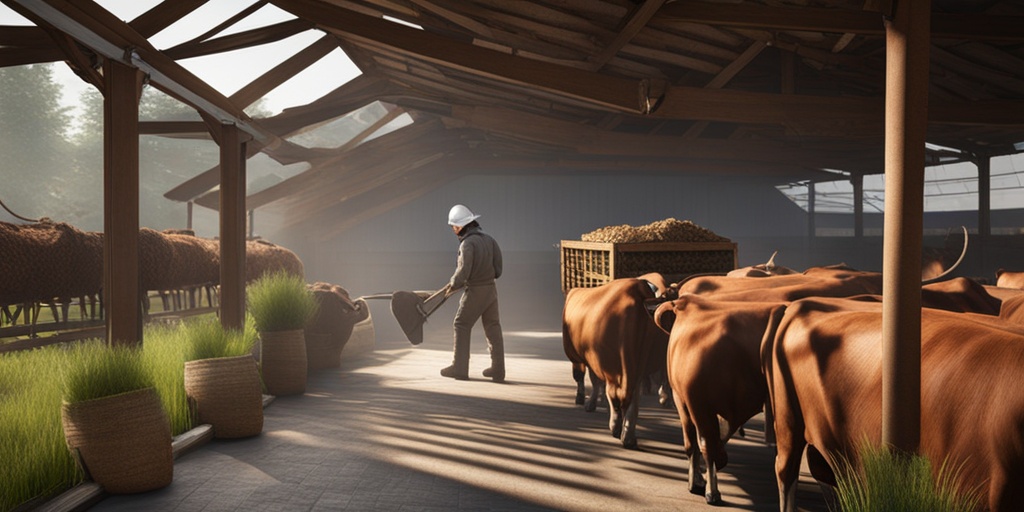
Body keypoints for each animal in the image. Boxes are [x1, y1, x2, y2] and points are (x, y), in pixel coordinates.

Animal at [561, 274, 671, 446]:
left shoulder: (580, 357)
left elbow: (587, 379)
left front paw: (586, 401)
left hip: (613, 366)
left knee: (615, 394)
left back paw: (616, 427)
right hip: (637, 363)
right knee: (633, 397)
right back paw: (629, 436)